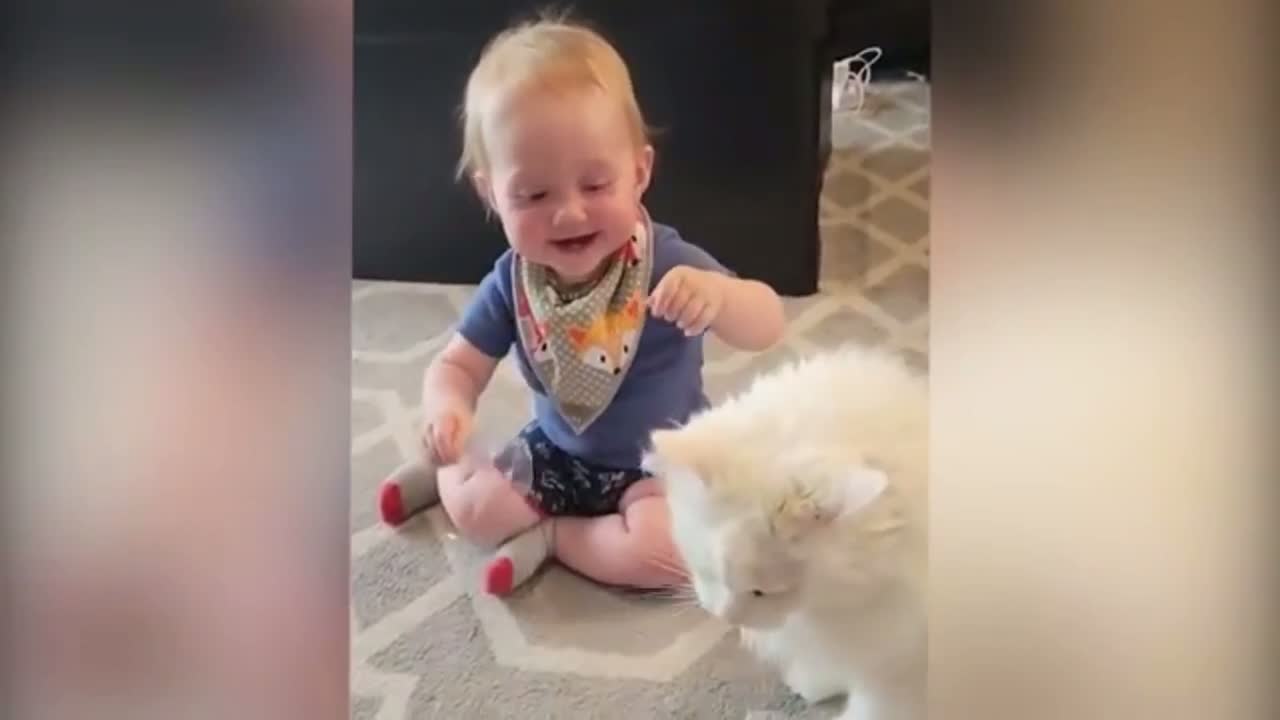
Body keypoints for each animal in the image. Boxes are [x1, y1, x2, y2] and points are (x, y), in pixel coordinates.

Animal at [645, 343, 926, 717]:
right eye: (709, 570)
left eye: (764, 592)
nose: (727, 617)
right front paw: (813, 682)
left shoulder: (898, 666)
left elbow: (873, 707)